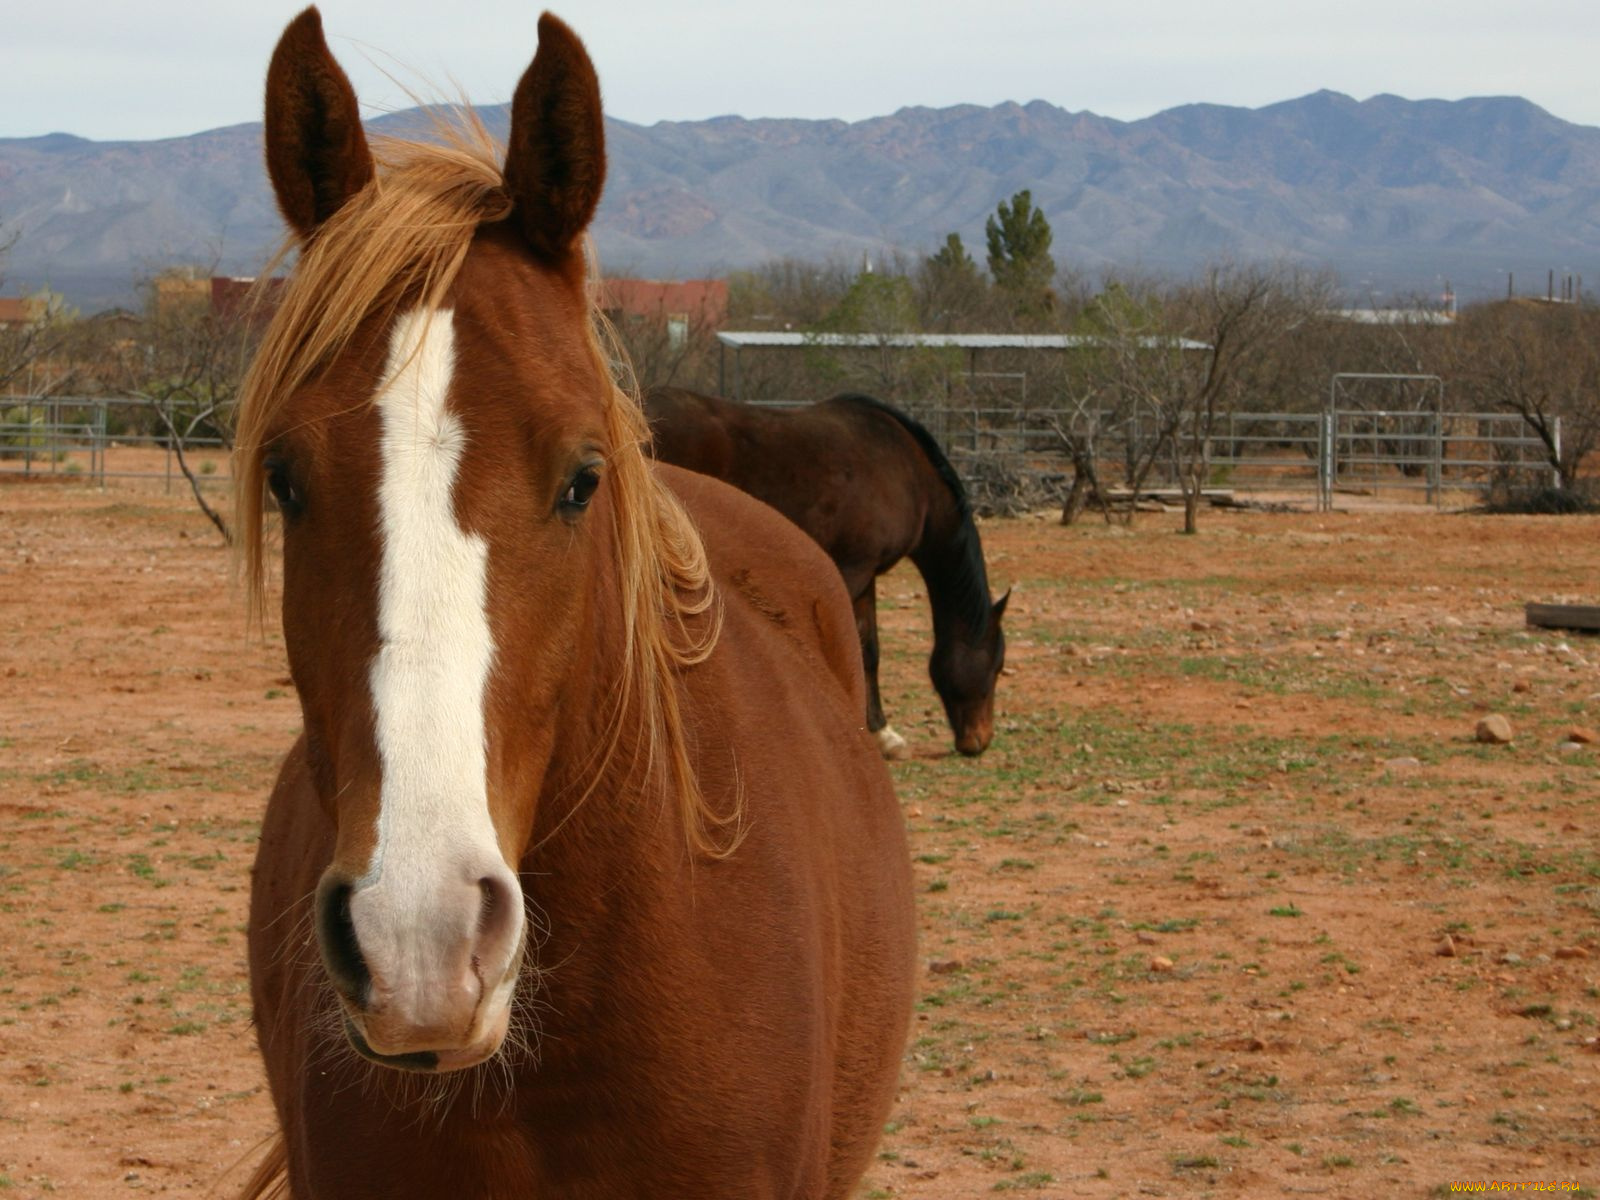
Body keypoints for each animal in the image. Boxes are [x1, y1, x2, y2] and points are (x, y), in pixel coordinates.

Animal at [640, 387, 1004, 761]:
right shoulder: (854, 570)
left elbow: (870, 650)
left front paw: (882, 732)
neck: (908, 474)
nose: (979, 741)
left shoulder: (867, 577)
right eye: (996, 666)